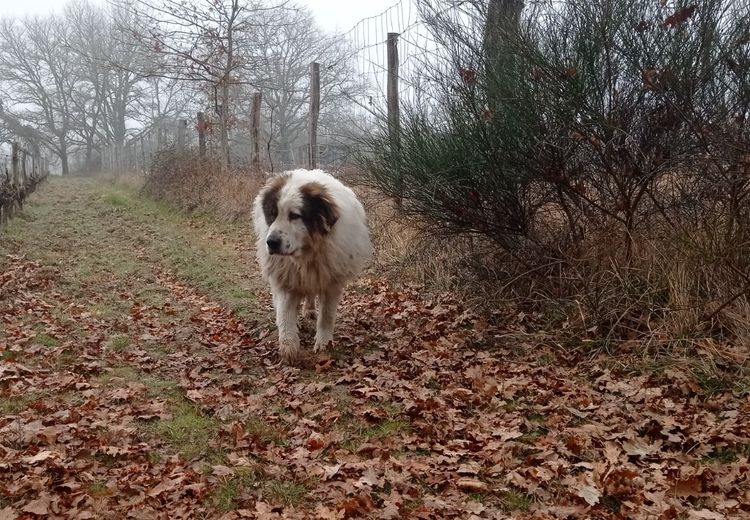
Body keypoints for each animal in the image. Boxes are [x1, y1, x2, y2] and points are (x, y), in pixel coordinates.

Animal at [253, 169, 374, 364]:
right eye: (273, 214)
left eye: (295, 215)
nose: (271, 242)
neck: (306, 253)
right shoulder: (286, 278)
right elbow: (285, 315)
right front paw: (289, 346)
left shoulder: (332, 282)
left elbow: (326, 316)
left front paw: (323, 344)